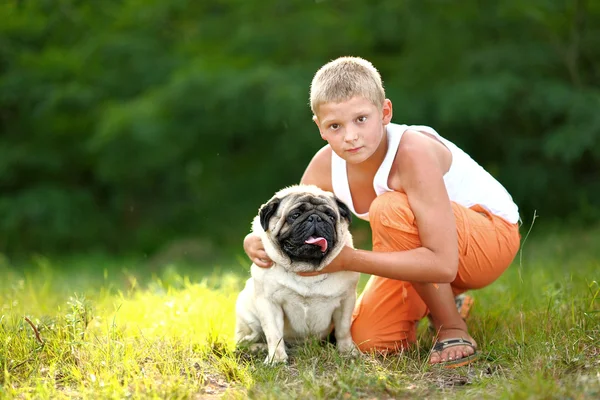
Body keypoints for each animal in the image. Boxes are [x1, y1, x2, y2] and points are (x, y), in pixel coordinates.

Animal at [236, 186, 358, 364]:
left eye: (330, 216)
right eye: (295, 215)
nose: (315, 218)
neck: (306, 268)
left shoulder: (346, 301)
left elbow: (343, 330)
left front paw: (347, 351)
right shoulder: (269, 303)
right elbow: (274, 334)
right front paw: (276, 359)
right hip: (248, 315)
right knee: (245, 340)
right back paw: (258, 348)